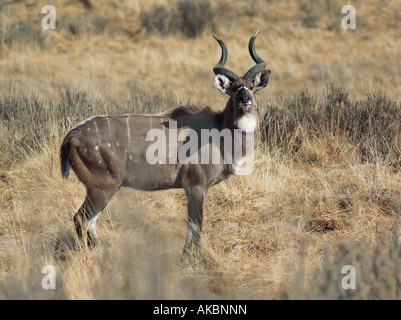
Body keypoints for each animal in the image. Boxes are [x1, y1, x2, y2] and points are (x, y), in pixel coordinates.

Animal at [59, 31, 270, 254]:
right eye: (234, 89)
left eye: (252, 87)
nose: (245, 100)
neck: (220, 133)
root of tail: (70, 137)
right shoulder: (194, 185)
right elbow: (195, 224)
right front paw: (190, 256)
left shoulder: (201, 188)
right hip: (102, 186)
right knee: (81, 218)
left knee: (91, 221)